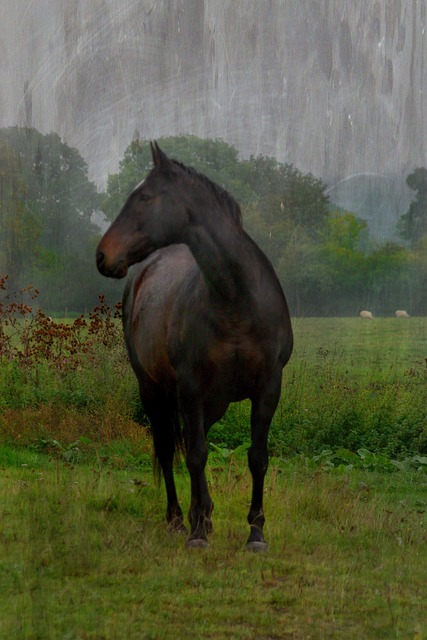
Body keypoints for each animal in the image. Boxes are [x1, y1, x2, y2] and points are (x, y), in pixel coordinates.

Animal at [96, 144, 294, 552]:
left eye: (144, 197)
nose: (103, 255)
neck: (237, 300)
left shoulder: (268, 388)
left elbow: (257, 457)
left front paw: (255, 533)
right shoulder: (191, 388)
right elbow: (196, 455)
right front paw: (198, 532)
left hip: (213, 402)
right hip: (154, 390)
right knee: (169, 448)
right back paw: (178, 518)